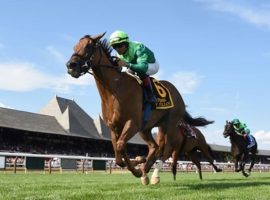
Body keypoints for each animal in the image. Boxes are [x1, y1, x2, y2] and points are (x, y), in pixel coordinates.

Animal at [66, 32, 213, 184]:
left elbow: (121, 145)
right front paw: (138, 162)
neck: (115, 89)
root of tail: (178, 94)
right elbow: (118, 154)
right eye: (74, 47)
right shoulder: (114, 127)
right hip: (147, 128)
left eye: (88, 46)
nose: (71, 65)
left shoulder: (133, 123)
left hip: (170, 124)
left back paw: (153, 175)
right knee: (155, 147)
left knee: (165, 149)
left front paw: (136, 170)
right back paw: (145, 171)